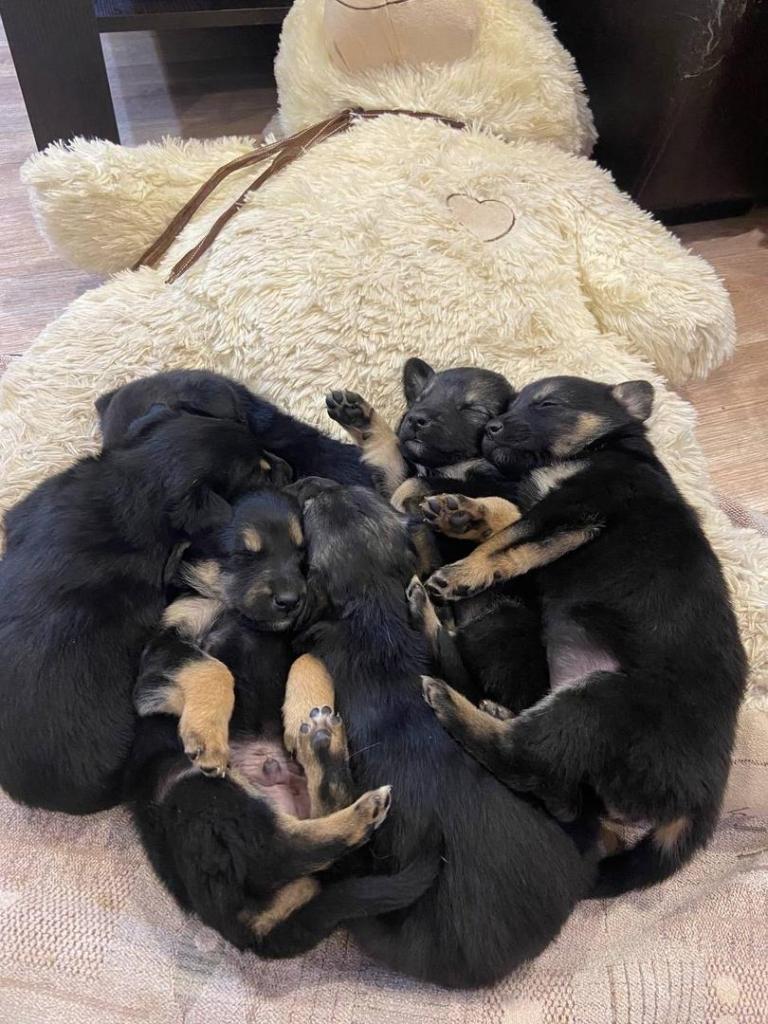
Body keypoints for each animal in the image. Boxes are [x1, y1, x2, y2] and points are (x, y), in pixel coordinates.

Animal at [127, 486, 434, 956]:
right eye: (243, 554)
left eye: (301, 555)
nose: (292, 600)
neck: (239, 614)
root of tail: (241, 924)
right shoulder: (158, 661)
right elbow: (212, 668)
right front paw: (208, 736)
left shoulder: (301, 640)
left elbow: (307, 661)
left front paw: (301, 715)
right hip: (193, 789)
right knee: (281, 852)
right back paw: (355, 799)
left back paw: (322, 744)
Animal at [289, 477, 597, 989]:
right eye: (349, 492)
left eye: (312, 510)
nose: (313, 484)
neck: (375, 601)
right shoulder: (456, 668)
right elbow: (446, 652)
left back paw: (325, 748)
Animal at [419, 376, 748, 895]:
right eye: (509, 404)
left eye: (548, 404)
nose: (490, 429)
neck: (604, 449)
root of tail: (699, 801)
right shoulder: (549, 511)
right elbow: (507, 514)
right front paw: (464, 515)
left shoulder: (575, 509)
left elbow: (506, 540)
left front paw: (463, 571)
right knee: (558, 791)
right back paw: (494, 710)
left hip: (596, 702)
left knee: (522, 760)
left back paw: (453, 704)